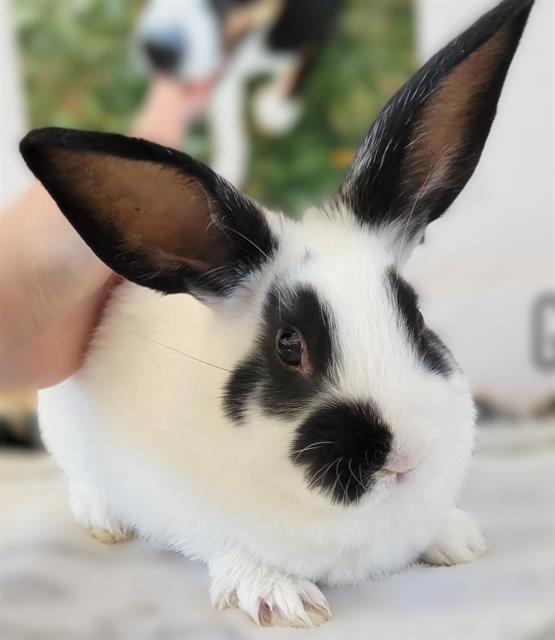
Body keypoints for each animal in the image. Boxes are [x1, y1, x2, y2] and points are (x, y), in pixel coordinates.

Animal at [19, 0, 533, 628]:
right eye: (290, 345)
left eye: (414, 316)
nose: (405, 456)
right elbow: (231, 550)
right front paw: (278, 596)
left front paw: (456, 539)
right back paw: (105, 519)